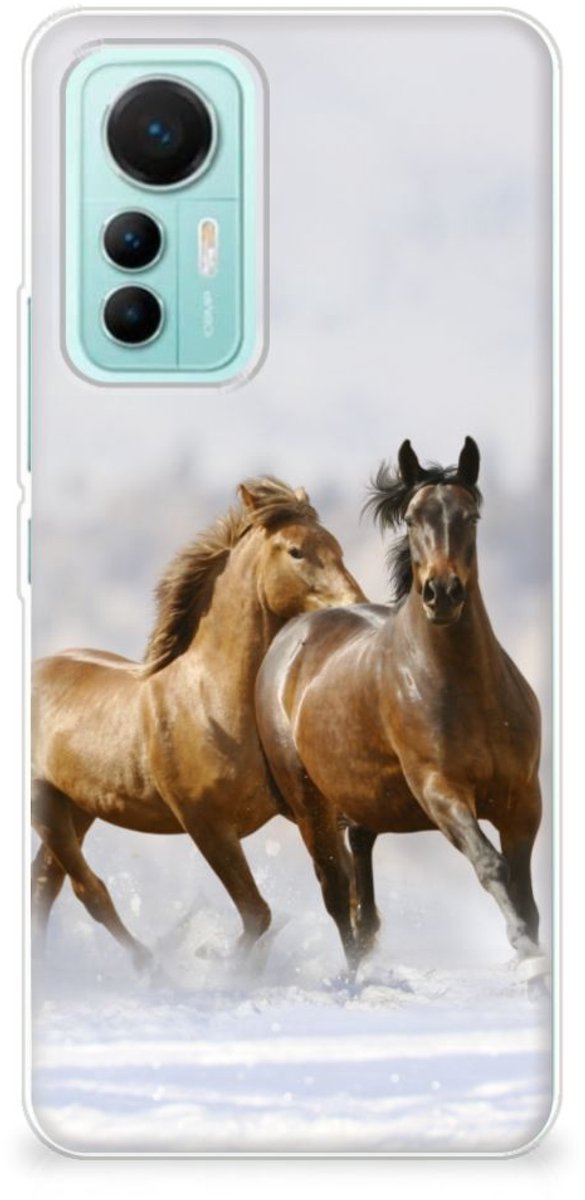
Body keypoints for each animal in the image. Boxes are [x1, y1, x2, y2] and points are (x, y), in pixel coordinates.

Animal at [32, 477, 365, 969]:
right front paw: (220, 964)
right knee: (86, 890)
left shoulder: (305, 810)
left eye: (337, 546)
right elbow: (257, 914)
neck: (212, 702)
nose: (356, 606)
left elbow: (338, 888)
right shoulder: (205, 824)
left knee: (44, 882)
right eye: (296, 551)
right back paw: (150, 966)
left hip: (78, 806)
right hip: (47, 805)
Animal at [255, 439, 543, 971]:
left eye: (471, 516)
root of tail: (290, 637)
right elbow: (491, 865)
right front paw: (524, 950)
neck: (468, 691)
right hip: (311, 807)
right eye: (411, 518)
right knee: (337, 894)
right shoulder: (440, 790)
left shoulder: (523, 800)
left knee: (362, 896)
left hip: (362, 804)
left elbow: (526, 893)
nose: (442, 593)